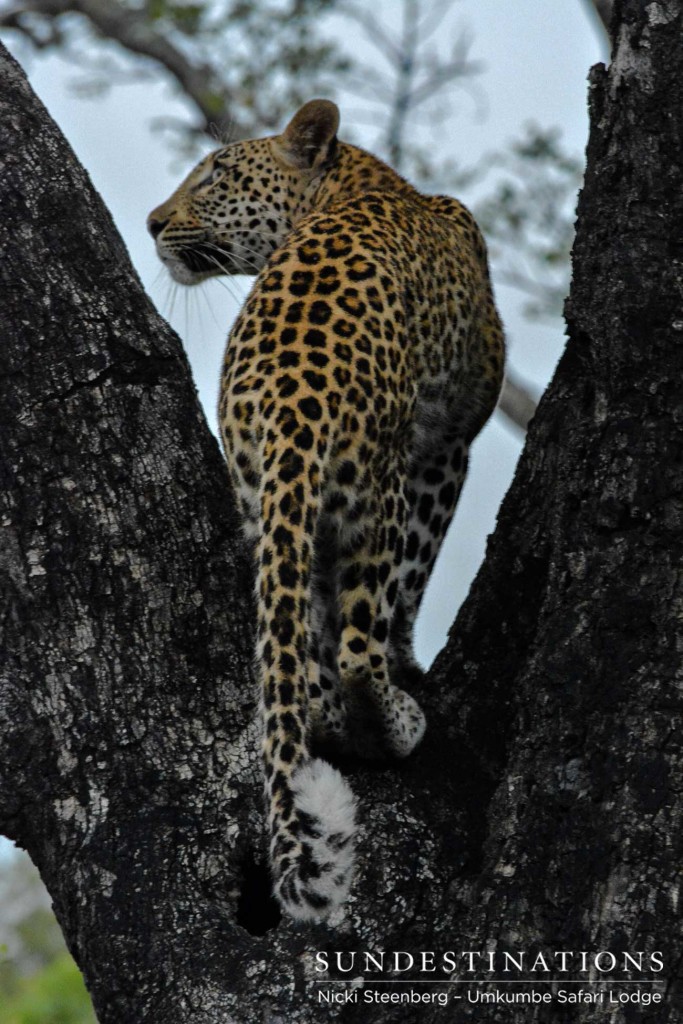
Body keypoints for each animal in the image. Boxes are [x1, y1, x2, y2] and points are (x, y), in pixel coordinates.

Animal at [148, 99, 501, 925]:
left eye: (213, 175)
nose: (150, 222)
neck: (358, 179)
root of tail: (291, 403)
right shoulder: (447, 445)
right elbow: (415, 580)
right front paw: (410, 660)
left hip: (266, 507)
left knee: (301, 671)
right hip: (377, 492)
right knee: (356, 654)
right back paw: (397, 720)